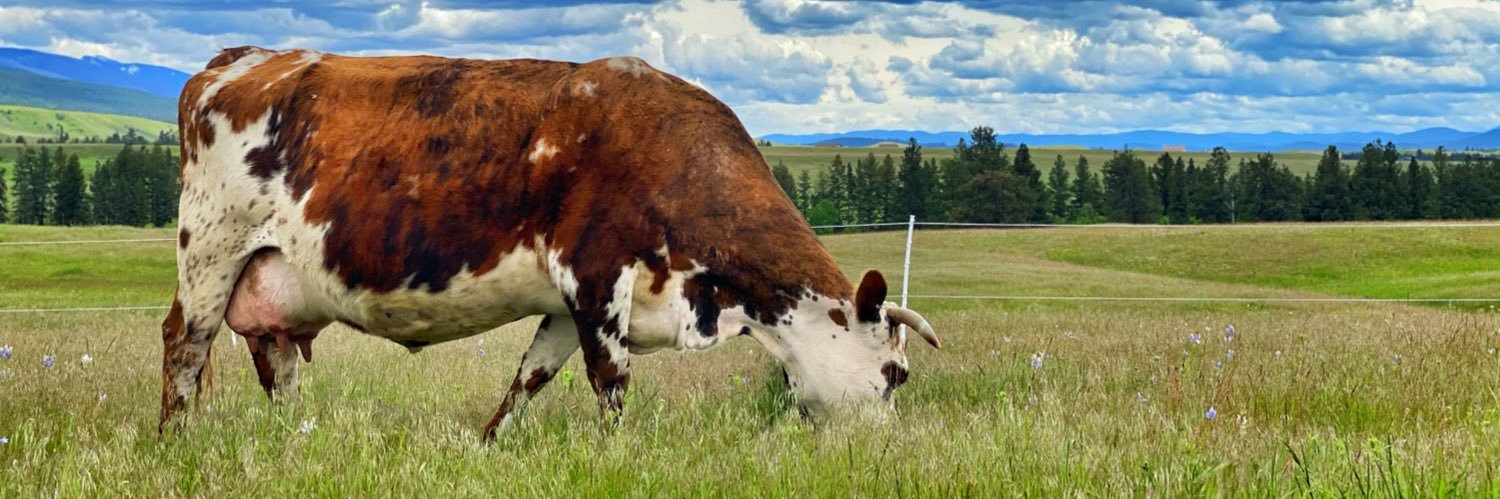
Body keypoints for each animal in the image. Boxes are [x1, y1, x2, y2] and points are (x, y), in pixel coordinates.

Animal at [161, 46, 941, 438]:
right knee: (185, 344)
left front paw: (487, 445)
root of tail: (239, 58)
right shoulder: (596, 278)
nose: (885, 448)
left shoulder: (568, 307)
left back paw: (298, 438)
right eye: (896, 373)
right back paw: (176, 442)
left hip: (270, 275)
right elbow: (611, 383)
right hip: (211, 248)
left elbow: (529, 378)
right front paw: (618, 453)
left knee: (276, 360)